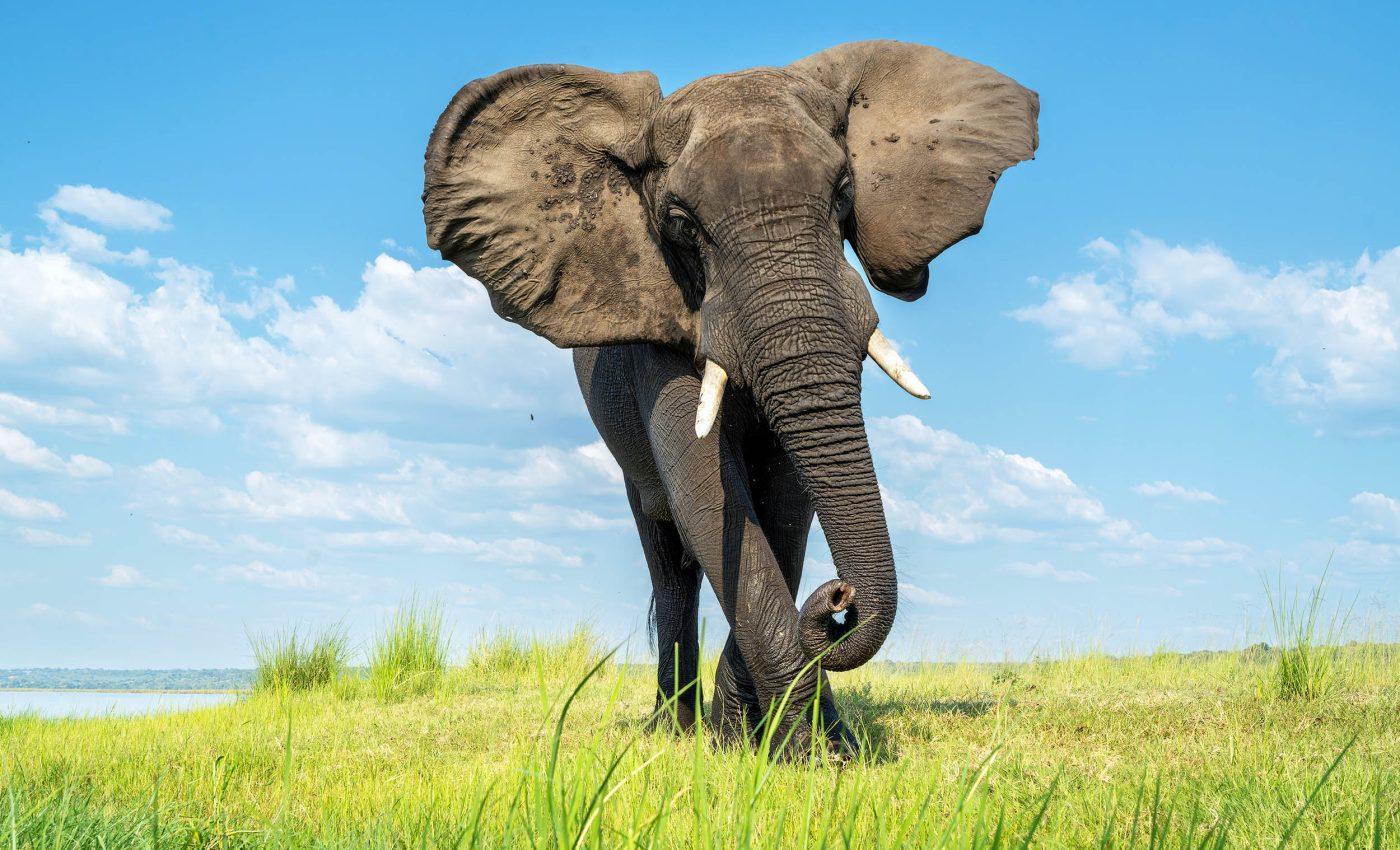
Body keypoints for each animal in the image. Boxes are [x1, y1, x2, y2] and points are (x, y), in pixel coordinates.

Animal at [422, 40, 1038, 757]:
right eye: (680, 224)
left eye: (845, 193)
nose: (840, 596)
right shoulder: (657, 330)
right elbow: (708, 495)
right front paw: (785, 753)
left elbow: (783, 504)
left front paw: (794, 744)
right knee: (669, 562)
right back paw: (672, 729)